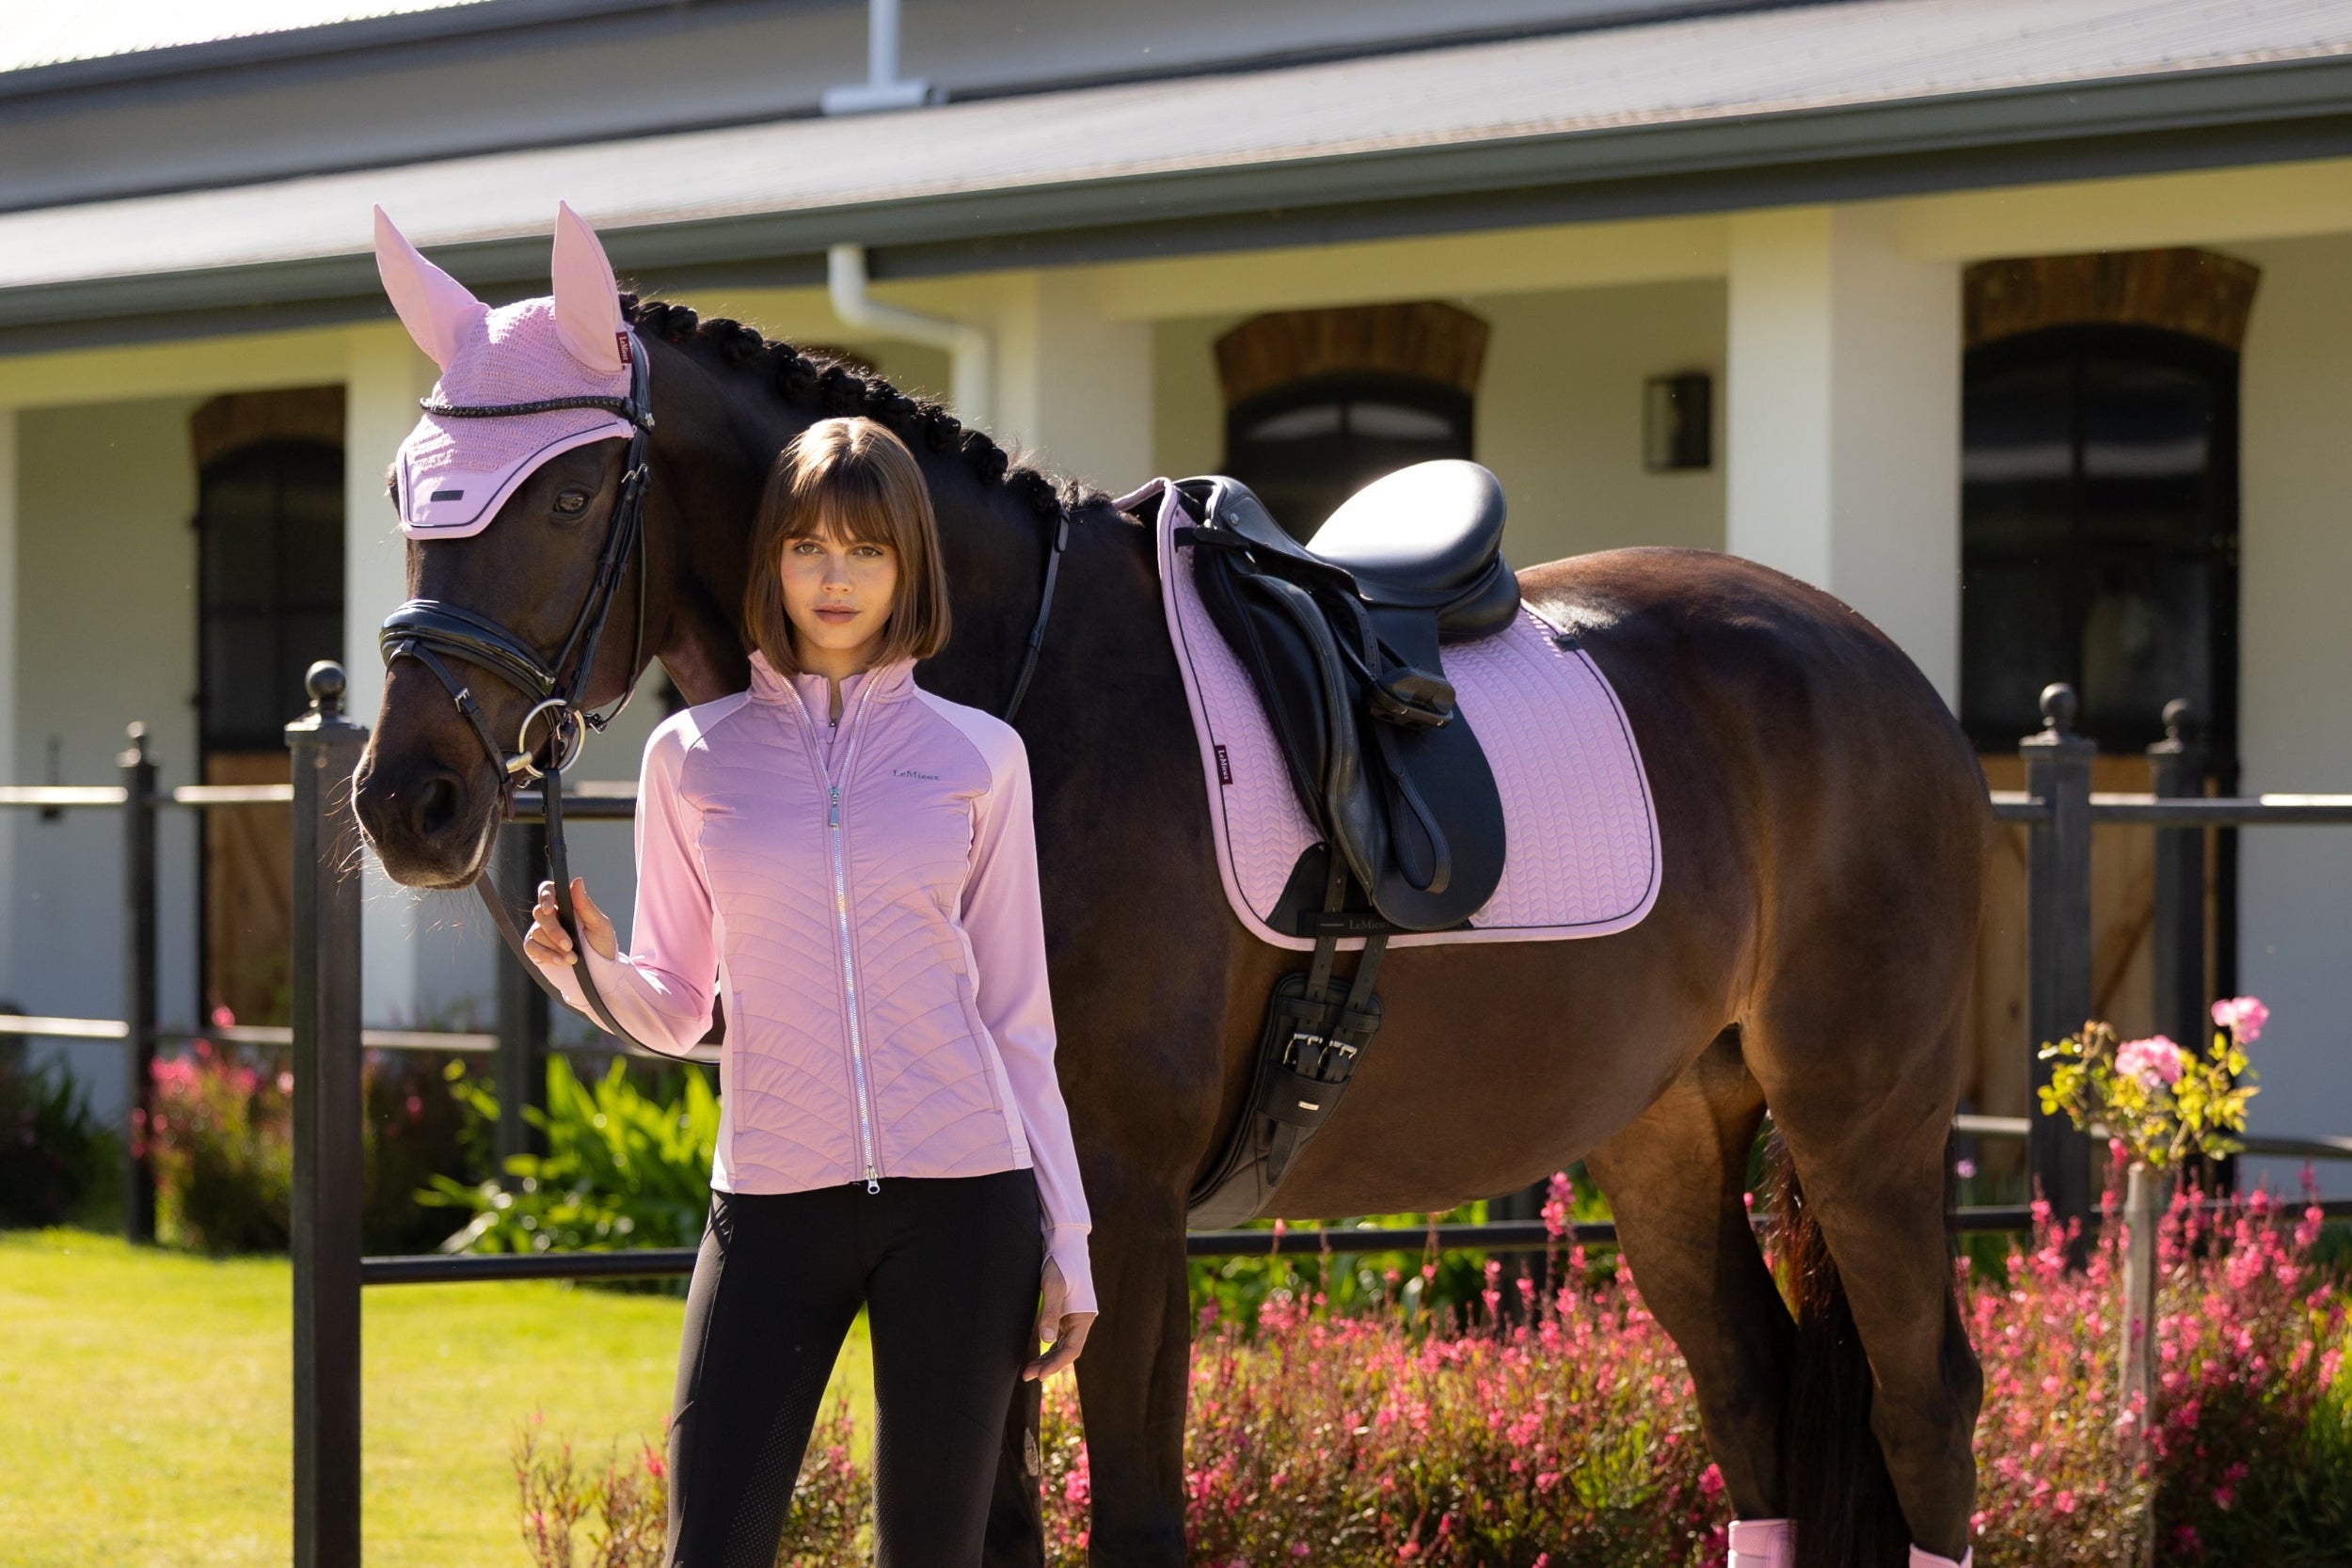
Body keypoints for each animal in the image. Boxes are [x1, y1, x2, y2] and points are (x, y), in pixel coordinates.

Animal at [352, 285, 1990, 1566]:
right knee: (1755, 1391)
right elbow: (995, 1512)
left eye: (570, 494)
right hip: (1665, 1133)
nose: (405, 800)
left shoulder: (1126, 1213)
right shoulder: (1019, 1225)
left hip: (1867, 1128)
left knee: (1925, 1400)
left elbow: (1133, 1512)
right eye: (407, 492)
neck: (1012, 683)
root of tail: (1881, 670)